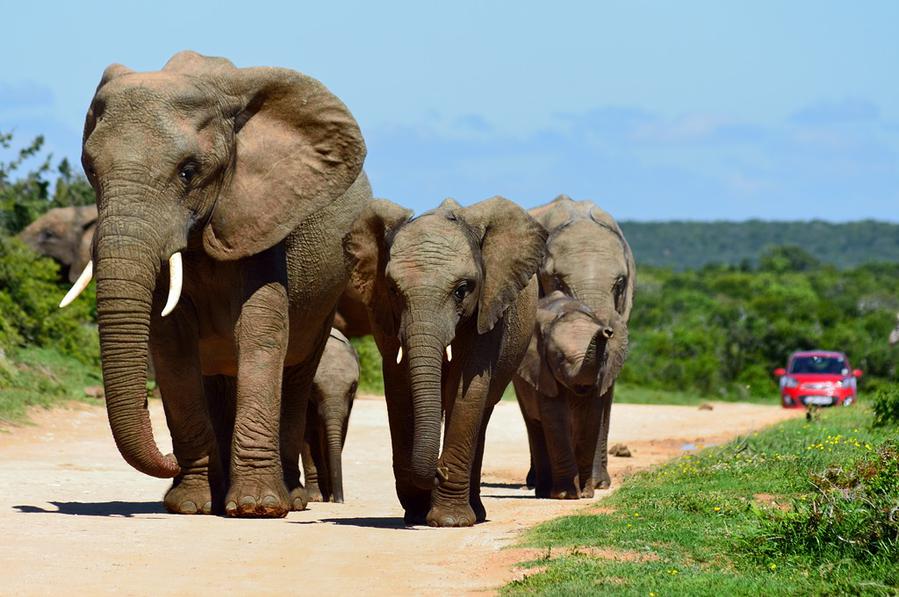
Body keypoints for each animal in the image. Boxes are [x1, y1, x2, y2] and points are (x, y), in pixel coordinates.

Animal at [302, 328, 358, 500]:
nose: (341, 500)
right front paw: (316, 498)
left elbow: (340, 432)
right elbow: (309, 431)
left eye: (353, 387)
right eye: (314, 388)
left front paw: (330, 497)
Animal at [512, 292, 624, 496]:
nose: (607, 331)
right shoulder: (543, 371)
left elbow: (590, 419)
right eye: (560, 358)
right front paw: (567, 495)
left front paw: (586, 494)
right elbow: (556, 418)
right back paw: (544, 492)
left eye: (604, 358)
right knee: (535, 426)